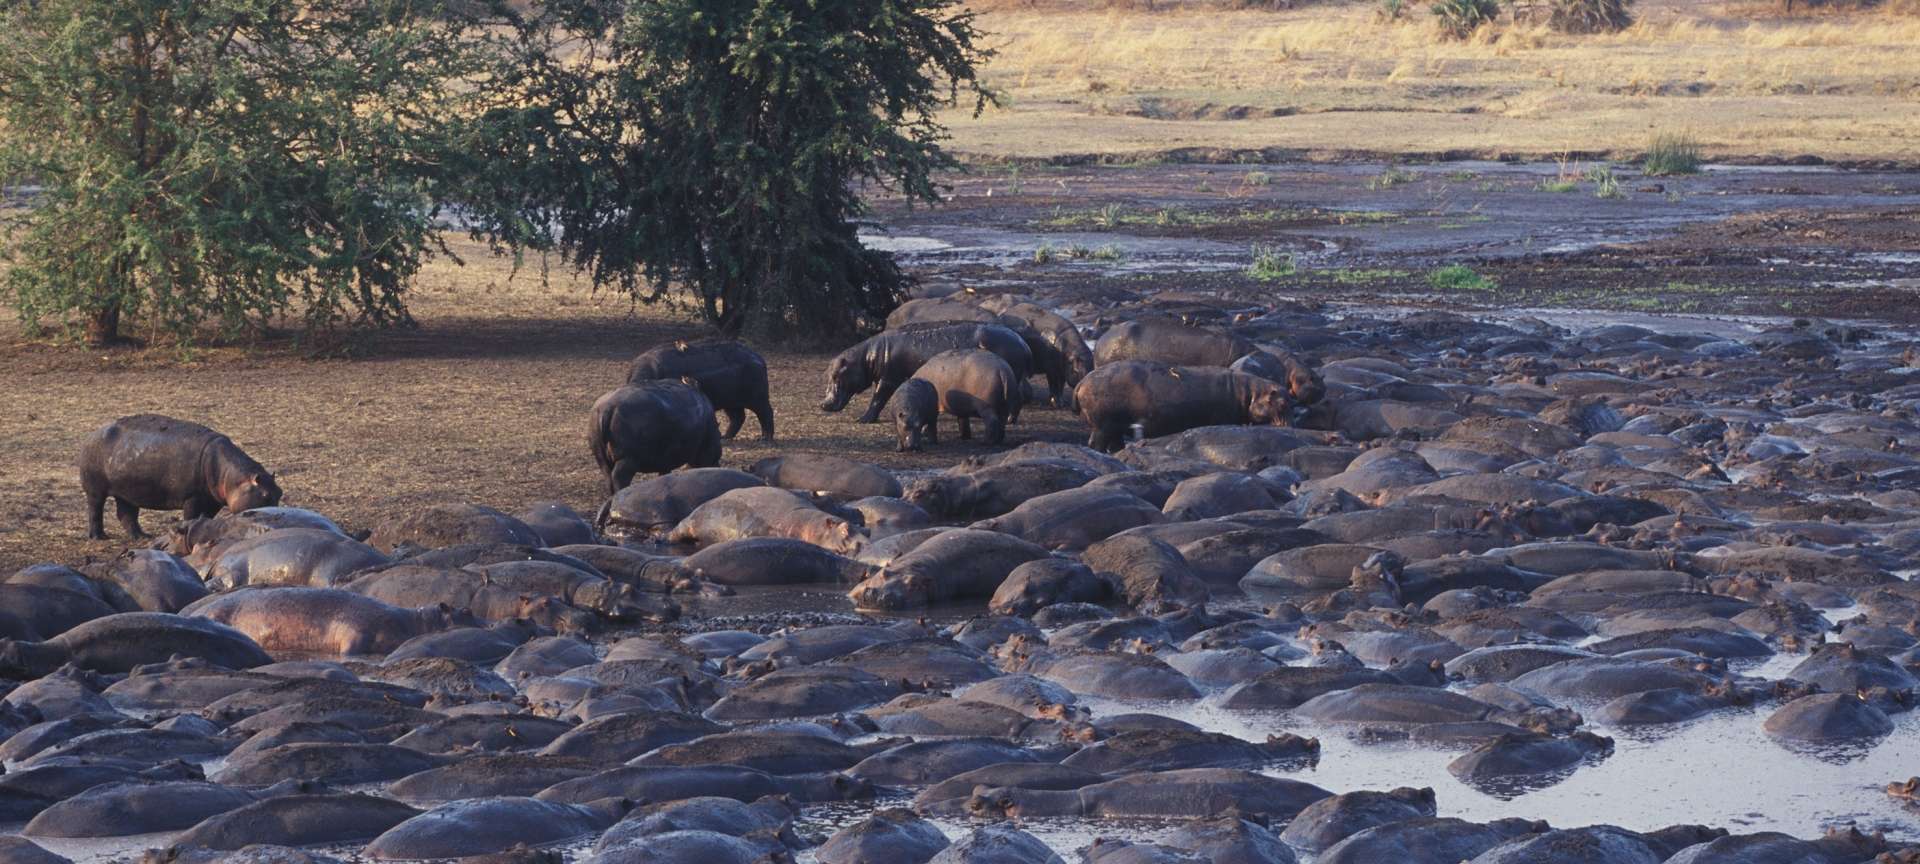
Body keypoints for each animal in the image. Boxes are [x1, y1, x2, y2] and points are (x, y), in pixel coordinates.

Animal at [80, 412, 280, 541]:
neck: (231, 476)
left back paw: (141, 537)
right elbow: (190, 515)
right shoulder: (192, 497)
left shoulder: (212, 500)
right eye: (265, 495)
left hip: (127, 492)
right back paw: (99, 537)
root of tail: (93, 433)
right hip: (95, 489)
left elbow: (206, 517)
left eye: (280, 492)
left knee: (127, 514)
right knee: (95, 510)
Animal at [633, 337, 775, 439]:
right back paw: (725, 437)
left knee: (766, 412)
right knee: (738, 417)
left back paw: (765, 438)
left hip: (757, 398)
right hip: (731, 403)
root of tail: (758, 357)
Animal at [821, 320, 1036, 422]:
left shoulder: (888, 379)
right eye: (828, 374)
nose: (823, 404)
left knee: (1015, 399)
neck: (866, 357)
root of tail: (1024, 344)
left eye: (836, 375)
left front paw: (863, 420)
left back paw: (1008, 420)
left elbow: (878, 398)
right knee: (1021, 396)